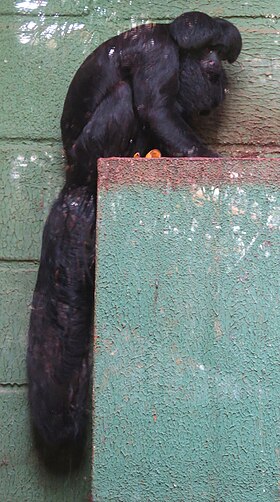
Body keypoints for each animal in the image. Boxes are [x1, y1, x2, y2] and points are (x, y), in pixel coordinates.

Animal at [26, 11, 243, 448]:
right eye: (212, 57)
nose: (220, 73)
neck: (172, 41)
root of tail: (73, 182)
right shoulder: (156, 54)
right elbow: (155, 108)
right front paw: (216, 161)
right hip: (89, 152)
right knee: (127, 97)